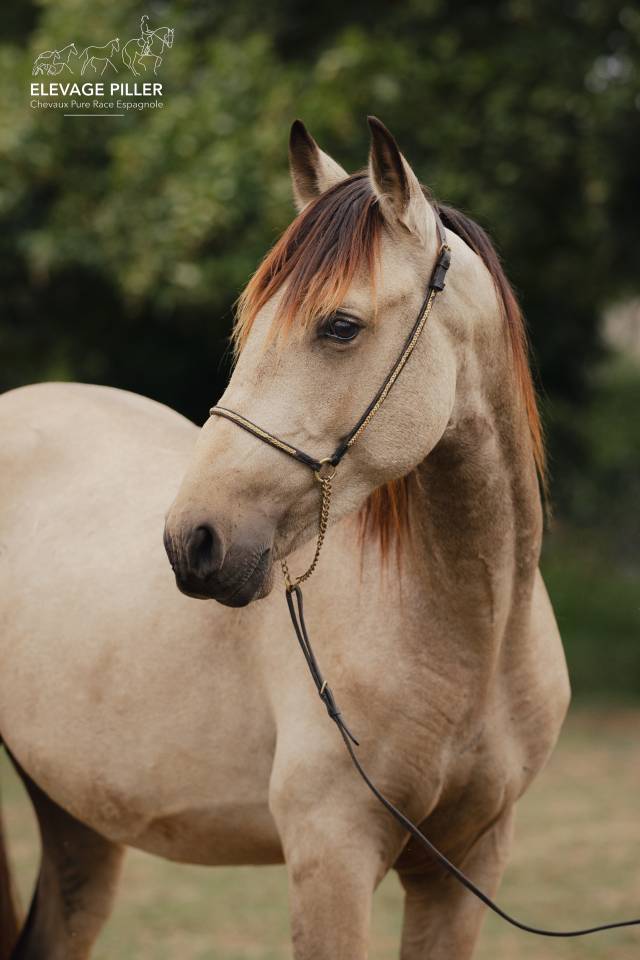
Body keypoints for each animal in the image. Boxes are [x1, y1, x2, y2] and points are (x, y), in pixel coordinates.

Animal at [0, 118, 570, 959]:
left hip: (77, 817)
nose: (194, 541)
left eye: (340, 325)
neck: (473, 638)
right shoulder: (331, 858)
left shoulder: (469, 866)